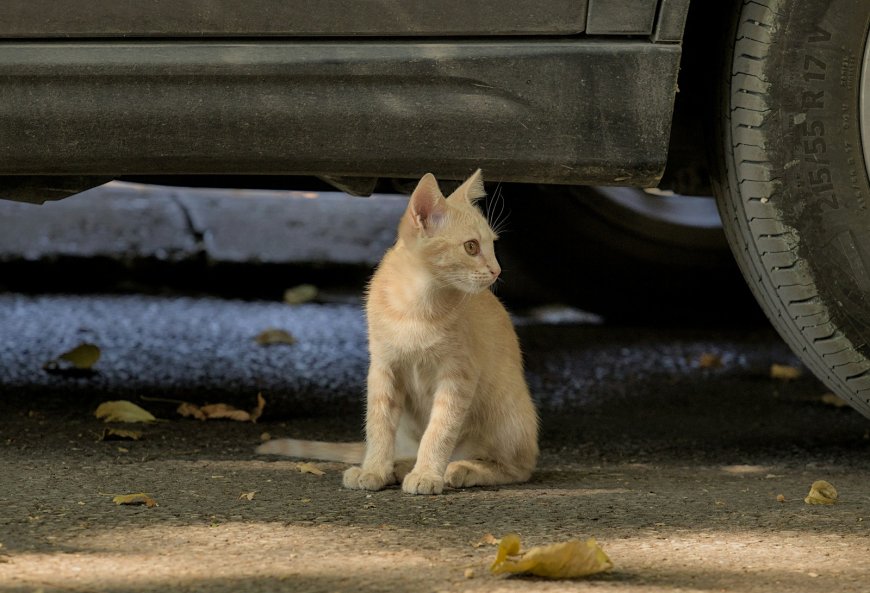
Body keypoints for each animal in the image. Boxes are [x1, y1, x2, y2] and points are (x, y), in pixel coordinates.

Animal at [258, 169, 540, 492]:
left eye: (493, 244)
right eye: (471, 246)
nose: (497, 271)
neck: (416, 304)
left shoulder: (458, 376)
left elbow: (440, 428)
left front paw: (428, 474)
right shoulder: (383, 367)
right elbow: (378, 424)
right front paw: (374, 469)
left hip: (507, 413)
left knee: (518, 467)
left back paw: (462, 468)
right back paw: (400, 465)